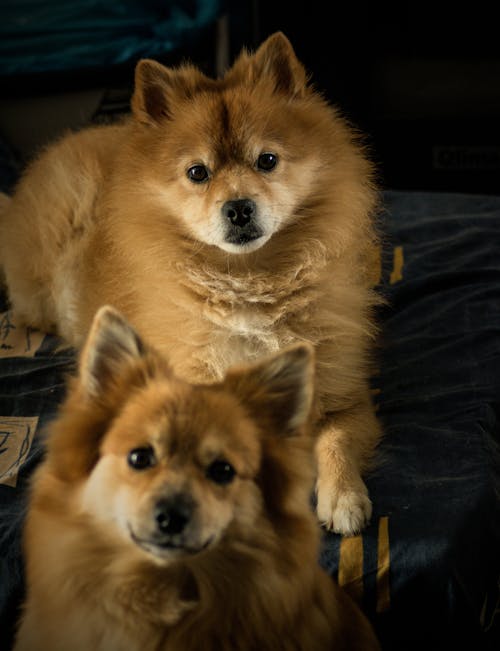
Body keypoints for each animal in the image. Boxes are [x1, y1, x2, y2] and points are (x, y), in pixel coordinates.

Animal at [0, 30, 382, 536]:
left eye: (267, 161)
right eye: (197, 173)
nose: (238, 207)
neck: (251, 278)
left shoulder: (344, 396)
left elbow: (335, 439)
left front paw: (343, 495)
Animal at [12, 306, 378, 651]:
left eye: (223, 471)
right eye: (139, 458)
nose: (171, 517)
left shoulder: (348, 405)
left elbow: (335, 440)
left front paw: (343, 493)